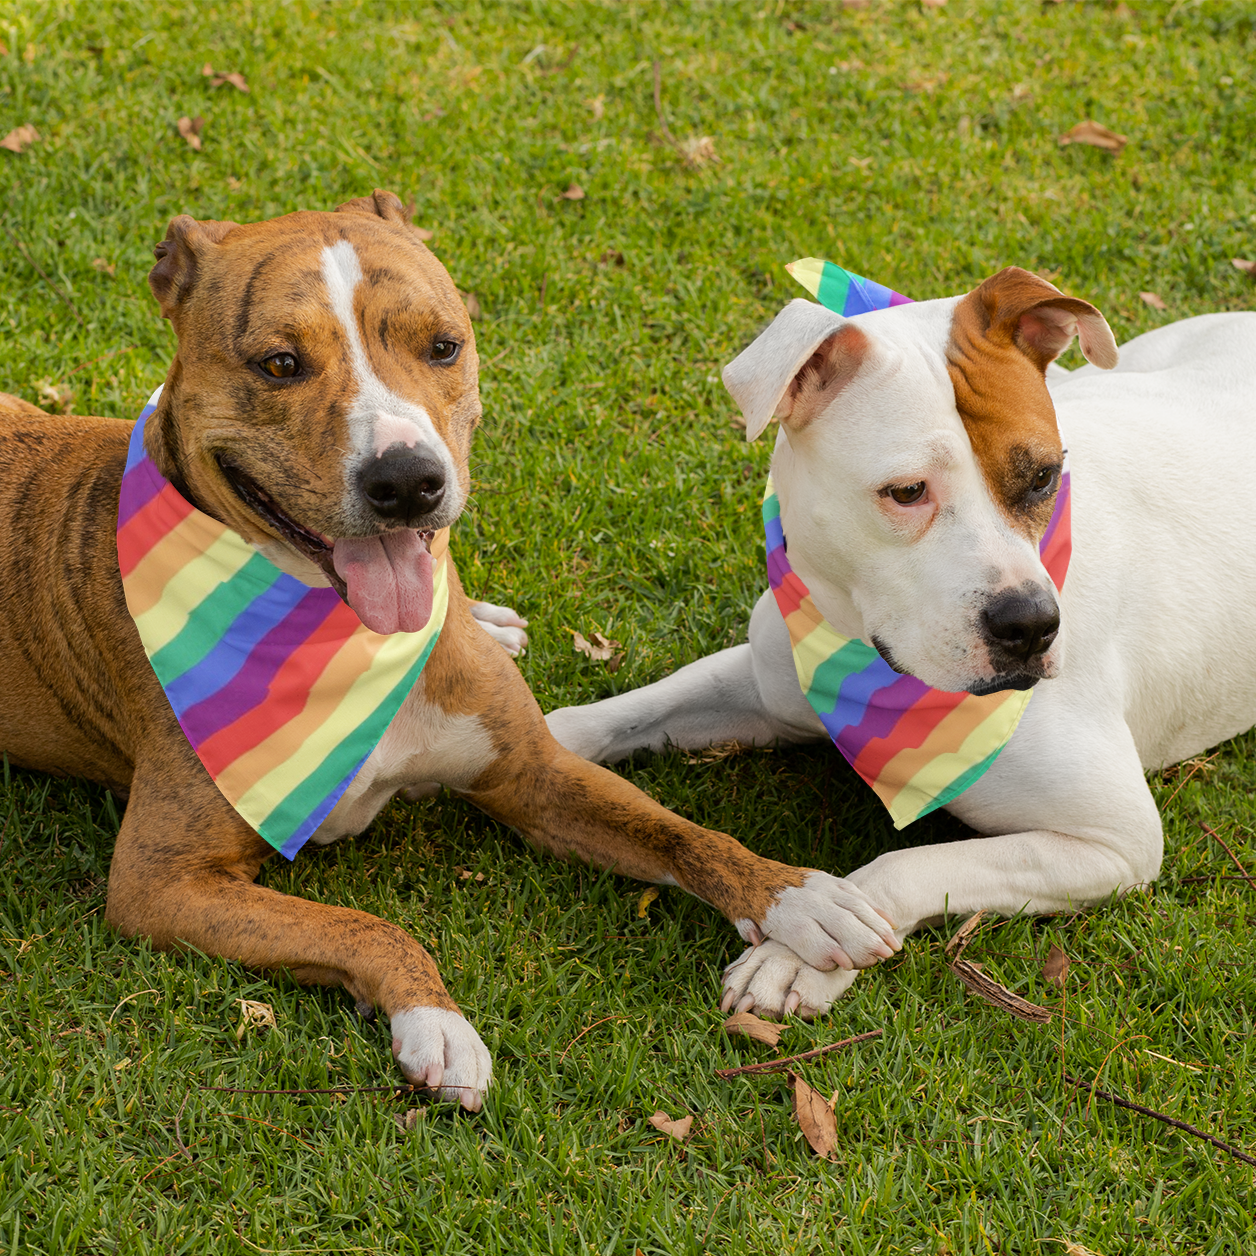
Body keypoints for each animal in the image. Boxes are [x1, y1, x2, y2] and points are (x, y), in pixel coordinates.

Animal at [0, 188, 894, 1110]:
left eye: (442, 345)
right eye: (279, 364)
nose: (405, 480)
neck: (356, 643)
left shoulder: (532, 775)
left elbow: (681, 831)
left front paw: (798, 897)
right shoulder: (162, 881)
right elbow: (365, 927)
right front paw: (435, 1020)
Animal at [547, 265, 1256, 1019]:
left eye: (1043, 476)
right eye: (908, 491)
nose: (1031, 625)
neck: (858, 652)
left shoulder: (1113, 842)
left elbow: (908, 863)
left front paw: (798, 951)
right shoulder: (768, 682)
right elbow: (624, 712)